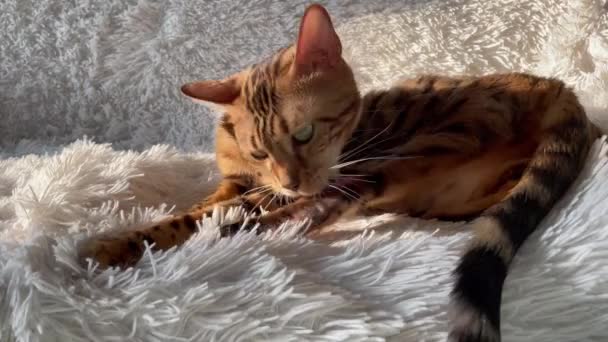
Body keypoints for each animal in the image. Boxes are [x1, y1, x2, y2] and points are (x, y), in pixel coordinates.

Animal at [79, 3, 600, 342]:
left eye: (306, 133)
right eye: (260, 150)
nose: (291, 181)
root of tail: (559, 90)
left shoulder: (294, 183)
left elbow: (193, 217)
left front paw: (115, 244)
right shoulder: (241, 179)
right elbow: (203, 203)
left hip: (424, 142)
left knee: (326, 204)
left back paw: (242, 229)